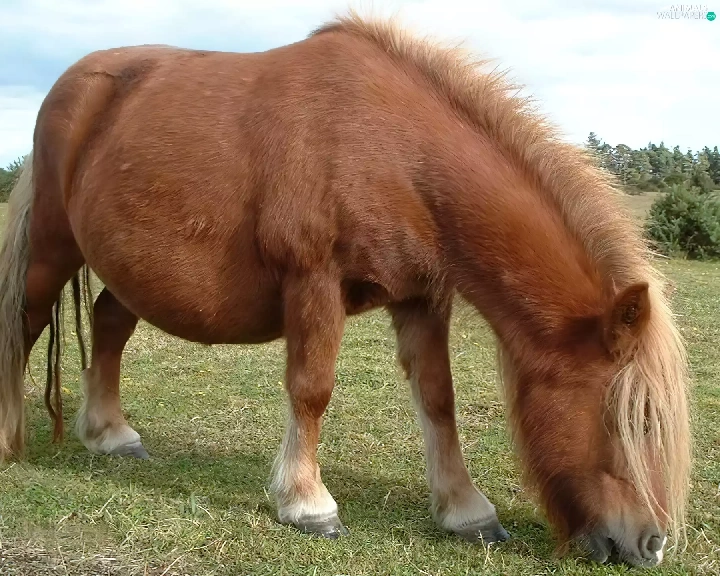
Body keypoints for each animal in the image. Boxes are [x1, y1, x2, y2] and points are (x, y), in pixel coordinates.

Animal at [0, 12, 690, 568]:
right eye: (635, 420)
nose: (651, 543)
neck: (396, 151)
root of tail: (71, 87)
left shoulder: (423, 297)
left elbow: (438, 401)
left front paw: (466, 510)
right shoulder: (315, 282)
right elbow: (312, 391)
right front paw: (307, 503)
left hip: (131, 269)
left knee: (109, 323)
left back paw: (111, 435)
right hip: (54, 247)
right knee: (24, 325)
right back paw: (10, 439)